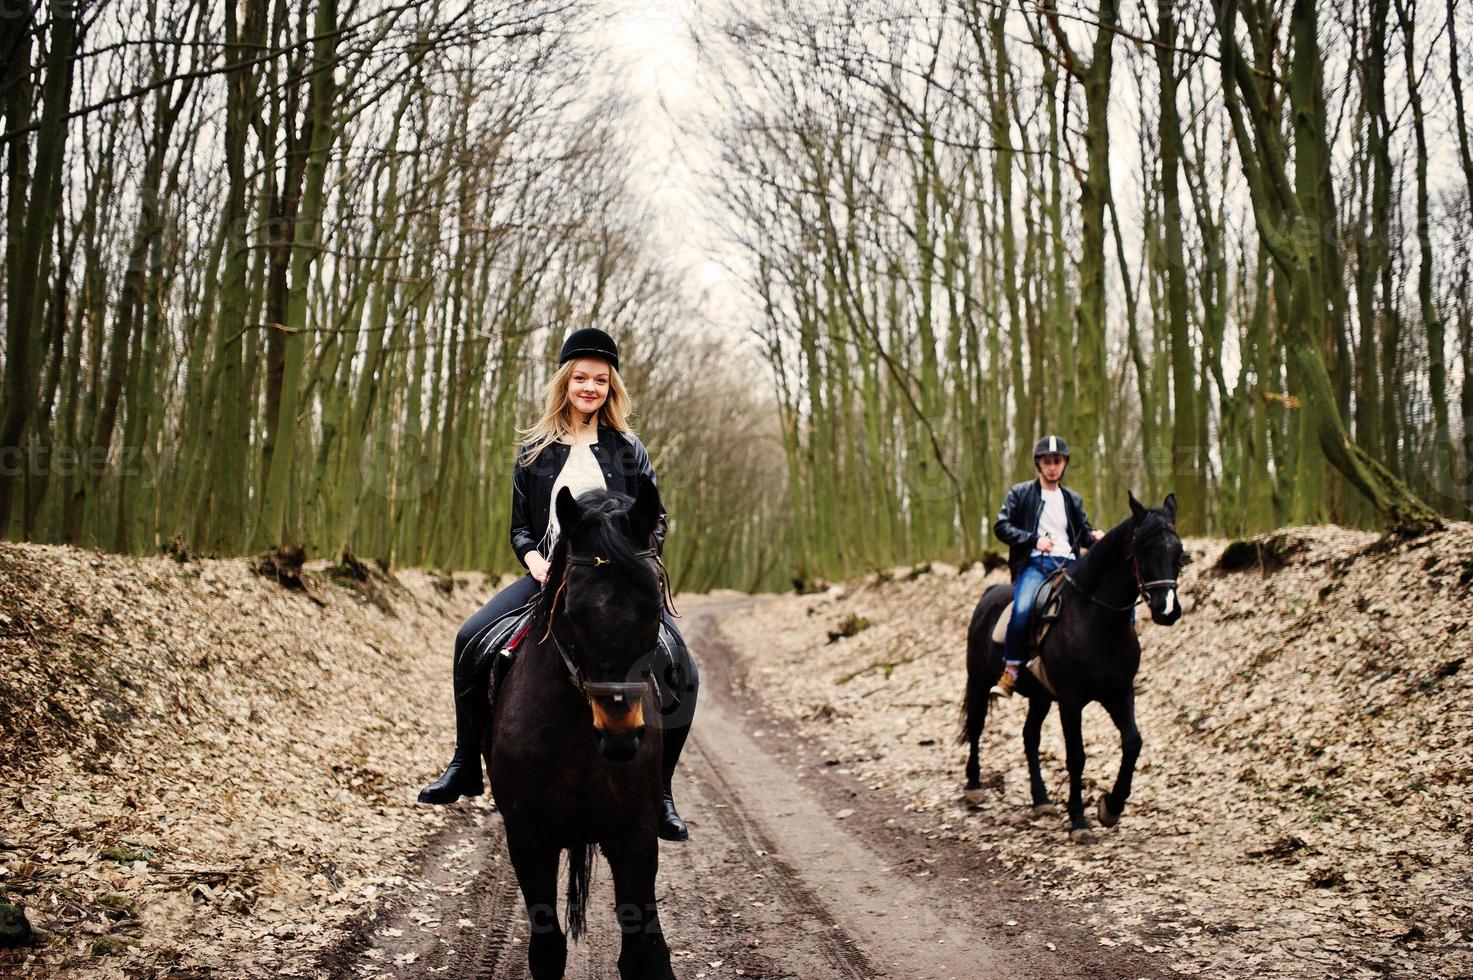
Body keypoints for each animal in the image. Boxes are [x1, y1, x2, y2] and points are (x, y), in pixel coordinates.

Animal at [491, 480, 680, 978]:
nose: (620, 735)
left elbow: (642, 952)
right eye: (573, 610)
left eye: (652, 606)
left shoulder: (635, 835)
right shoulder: (527, 837)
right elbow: (547, 949)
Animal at [960, 492, 1190, 837]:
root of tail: (989, 594)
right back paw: (974, 786)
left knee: (1030, 737)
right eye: (1143, 549)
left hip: (1040, 696)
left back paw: (1041, 800)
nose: (1167, 610)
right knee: (976, 725)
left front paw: (1111, 807)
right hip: (979, 679)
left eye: (1178, 552)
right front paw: (1079, 821)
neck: (1097, 620)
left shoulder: (1119, 693)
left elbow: (1133, 742)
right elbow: (1076, 756)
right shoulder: (1071, 702)